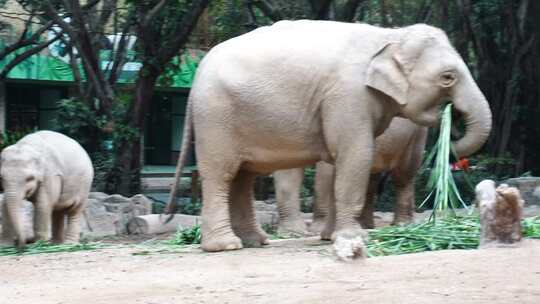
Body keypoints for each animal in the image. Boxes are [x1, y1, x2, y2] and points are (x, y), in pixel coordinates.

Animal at [274, 116, 426, 235]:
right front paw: (291, 233)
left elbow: (326, 172)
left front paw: (318, 231)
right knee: (371, 176)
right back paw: (365, 226)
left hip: (417, 132)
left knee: (404, 174)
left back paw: (402, 226)